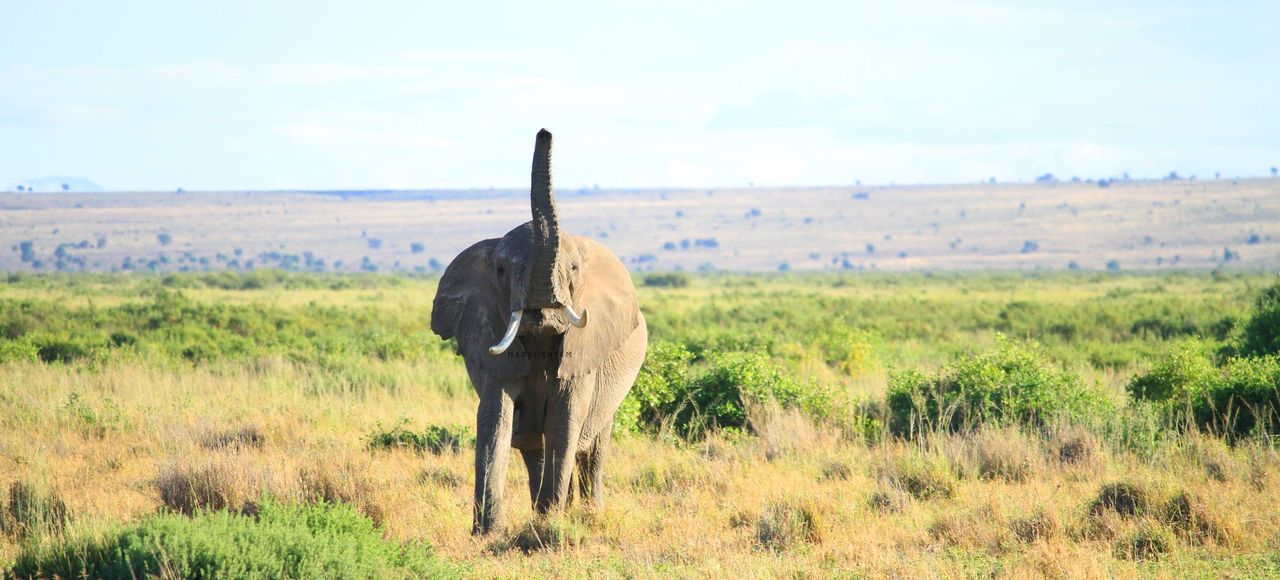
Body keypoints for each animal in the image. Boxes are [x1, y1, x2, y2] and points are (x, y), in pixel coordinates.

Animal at [430, 129, 648, 535]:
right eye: (501, 269)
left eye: (574, 268)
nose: (545, 132)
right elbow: (494, 419)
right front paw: (489, 533)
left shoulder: (583, 351)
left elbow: (565, 419)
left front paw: (550, 523)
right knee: (534, 446)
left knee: (590, 447)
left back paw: (586, 513)